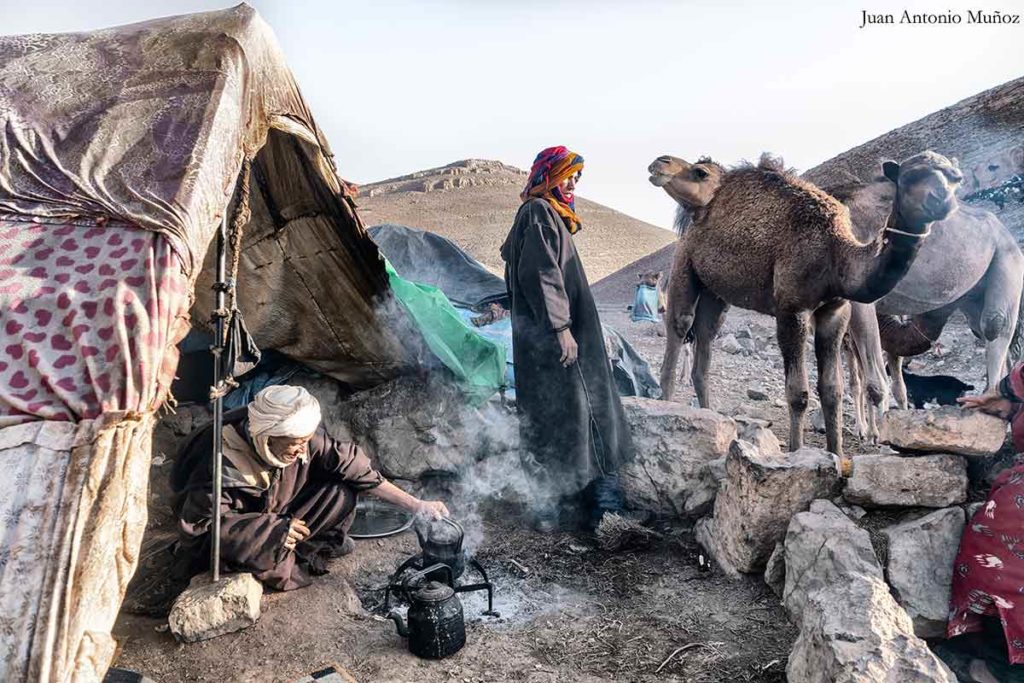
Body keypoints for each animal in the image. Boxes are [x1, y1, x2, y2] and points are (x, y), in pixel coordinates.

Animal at [651, 152, 962, 456]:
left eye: (954, 177)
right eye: (910, 176)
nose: (942, 200)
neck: (836, 251)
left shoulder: (834, 312)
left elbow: (832, 390)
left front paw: (836, 454)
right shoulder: (792, 309)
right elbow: (798, 392)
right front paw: (797, 452)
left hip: (715, 293)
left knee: (705, 338)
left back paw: (710, 418)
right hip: (684, 264)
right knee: (680, 326)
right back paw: (666, 409)